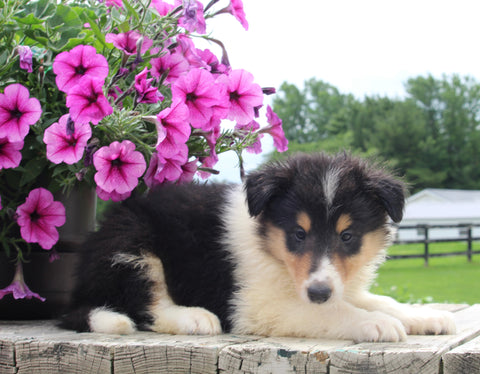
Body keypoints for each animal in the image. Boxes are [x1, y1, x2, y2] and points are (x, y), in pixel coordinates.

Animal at [62, 152, 456, 342]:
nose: (318, 292)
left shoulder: (336, 283)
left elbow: (380, 300)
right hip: (133, 244)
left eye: (347, 236)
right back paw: (194, 317)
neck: (272, 251)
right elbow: (332, 312)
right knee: (145, 306)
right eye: (298, 234)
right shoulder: (255, 306)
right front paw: (376, 324)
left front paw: (425, 316)